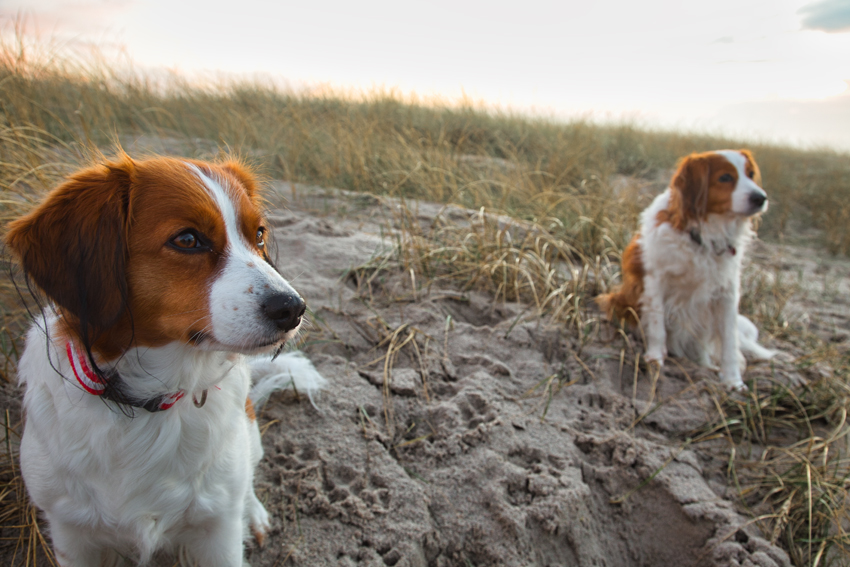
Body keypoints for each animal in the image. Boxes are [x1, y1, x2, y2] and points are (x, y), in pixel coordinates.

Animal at [6, 153, 324, 564]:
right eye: (187, 240)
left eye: (258, 235)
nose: (294, 309)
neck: (148, 402)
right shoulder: (71, 534)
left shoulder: (218, 532)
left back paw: (252, 512)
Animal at [596, 151, 776, 390]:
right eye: (725, 177)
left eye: (751, 174)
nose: (760, 198)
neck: (702, 236)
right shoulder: (655, 280)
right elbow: (657, 326)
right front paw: (655, 360)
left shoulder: (727, 293)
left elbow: (729, 341)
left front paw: (733, 381)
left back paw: (706, 366)